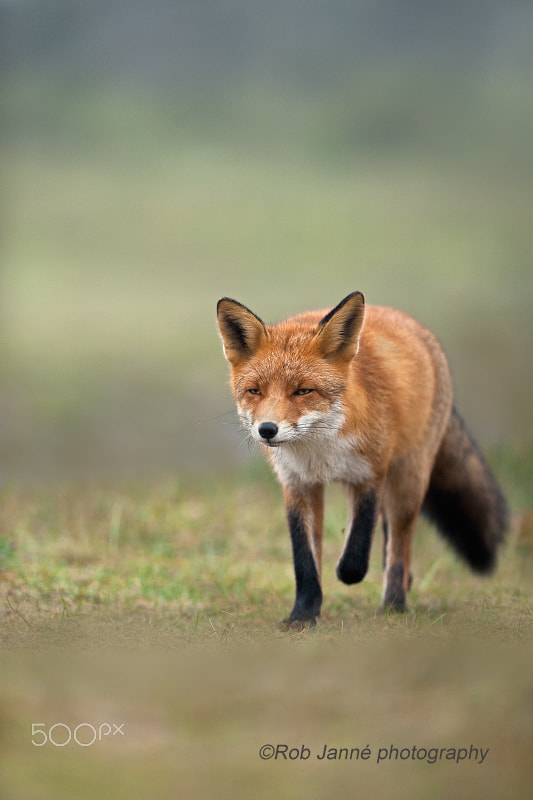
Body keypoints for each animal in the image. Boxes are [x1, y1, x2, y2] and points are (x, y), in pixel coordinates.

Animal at [216, 292, 508, 629]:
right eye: (255, 391)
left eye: (302, 391)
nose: (267, 430)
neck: (320, 452)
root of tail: (414, 325)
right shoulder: (298, 485)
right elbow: (304, 559)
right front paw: (303, 615)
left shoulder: (370, 474)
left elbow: (358, 544)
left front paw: (347, 574)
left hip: (408, 479)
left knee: (399, 541)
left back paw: (395, 602)